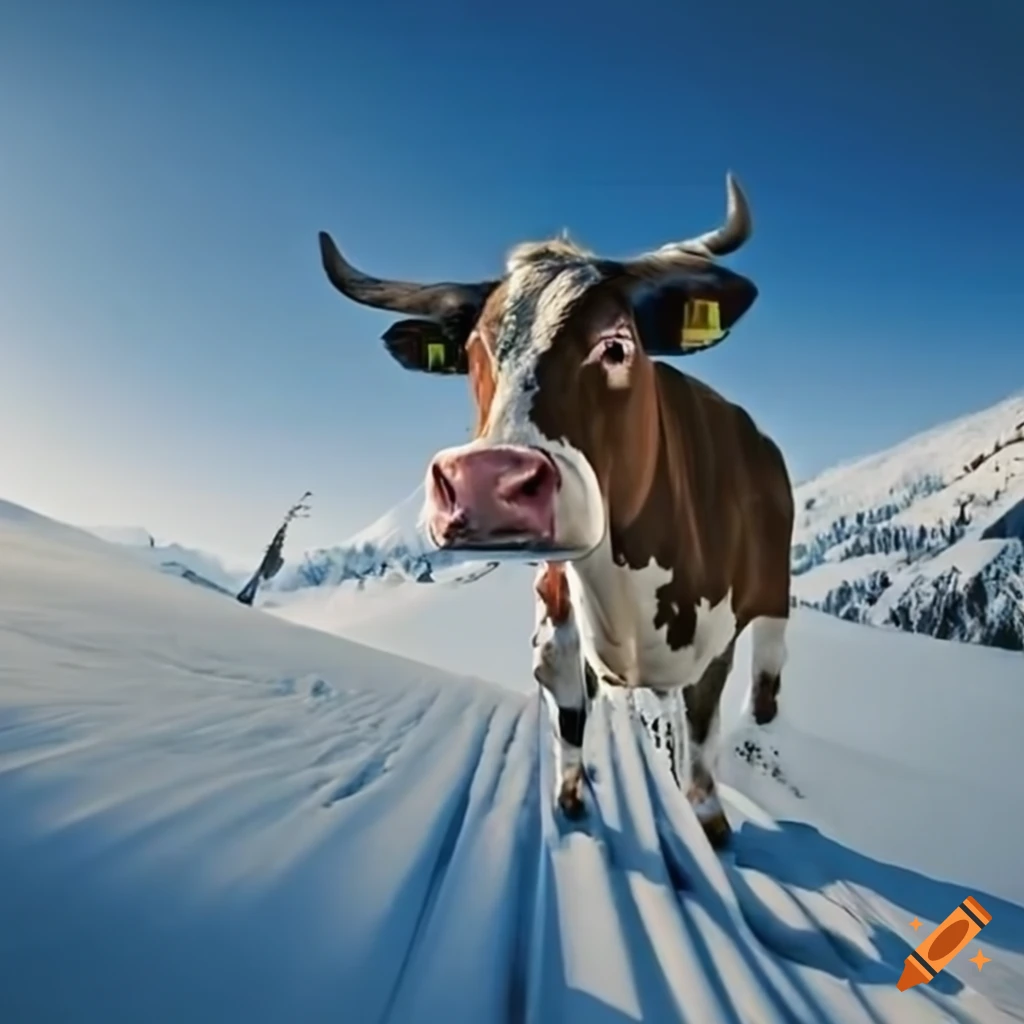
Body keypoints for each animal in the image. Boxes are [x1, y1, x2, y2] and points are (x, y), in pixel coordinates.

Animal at [318, 174, 795, 849]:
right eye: (472, 351)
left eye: (617, 344)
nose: (486, 483)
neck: (624, 595)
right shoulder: (557, 618)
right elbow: (571, 711)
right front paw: (570, 799)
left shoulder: (715, 640)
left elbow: (702, 735)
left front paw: (709, 820)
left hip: (773, 589)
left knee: (769, 666)